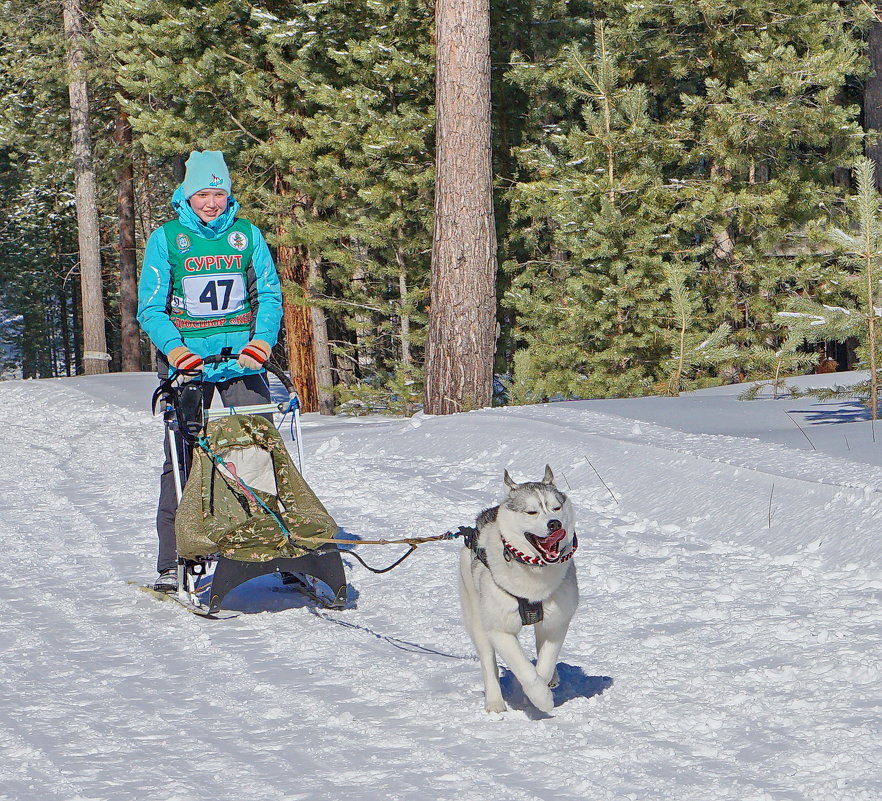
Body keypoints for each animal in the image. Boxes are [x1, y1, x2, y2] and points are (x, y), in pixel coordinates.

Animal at [460, 462, 576, 712]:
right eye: (531, 512)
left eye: (556, 507)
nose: (555, 523)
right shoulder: (500, 629)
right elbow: (525, 669)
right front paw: (541, 698)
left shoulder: (557, 622)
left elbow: (545, 662)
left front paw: (544, 684)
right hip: (476, 618)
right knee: (488, 663)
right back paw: (495, 702)